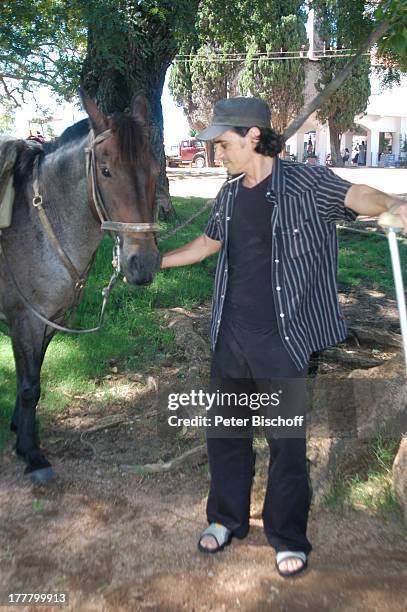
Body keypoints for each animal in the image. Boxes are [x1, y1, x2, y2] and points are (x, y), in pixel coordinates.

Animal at [0, 89, 163, 482]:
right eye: (105, 171)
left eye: (155, 170)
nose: (143, 264)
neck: (39, 225)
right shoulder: (25, 321)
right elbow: (29, 386)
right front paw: (32, 455)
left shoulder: (47, 323)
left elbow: (32, 376)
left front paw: (19, 432)